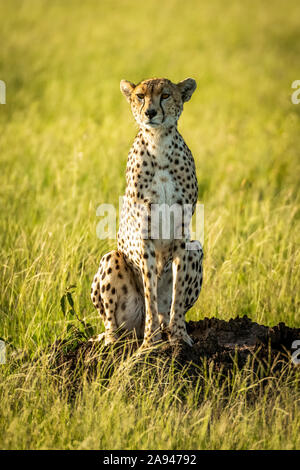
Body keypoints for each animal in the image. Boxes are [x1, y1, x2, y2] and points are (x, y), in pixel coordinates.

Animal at [91, 77, 204, 346]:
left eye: (165, 95)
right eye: (140, 96)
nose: (150, 112)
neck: (159, 142)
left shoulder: (182, 233)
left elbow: (178, 292)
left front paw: (179, 336)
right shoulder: (145, 231)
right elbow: (149, 289)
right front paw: (150, 342)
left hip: (196, 248)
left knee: (167, 310)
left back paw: (165, 329)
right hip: (112, 261)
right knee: (112, 324)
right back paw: (114, 342)